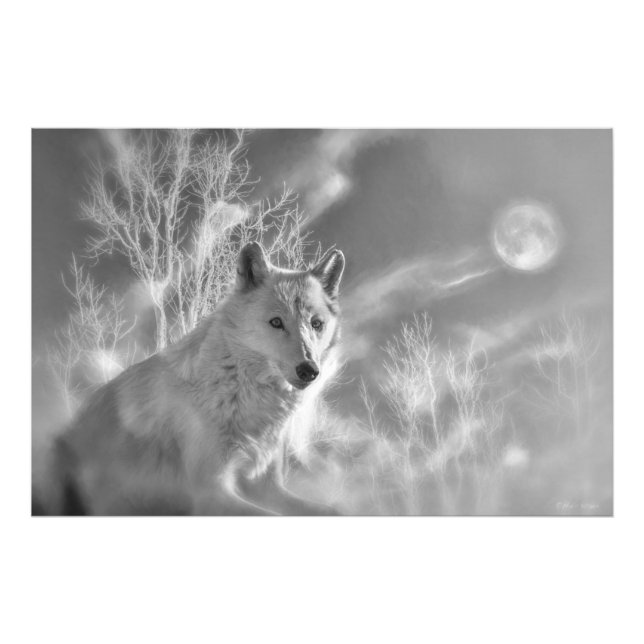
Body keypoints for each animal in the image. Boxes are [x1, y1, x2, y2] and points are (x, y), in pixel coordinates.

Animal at [37, 242, 345, 516]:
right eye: (276, 322)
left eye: (316, 324)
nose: (309, 370)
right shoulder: (211, 493)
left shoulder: (265, 487)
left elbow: (333, 511)